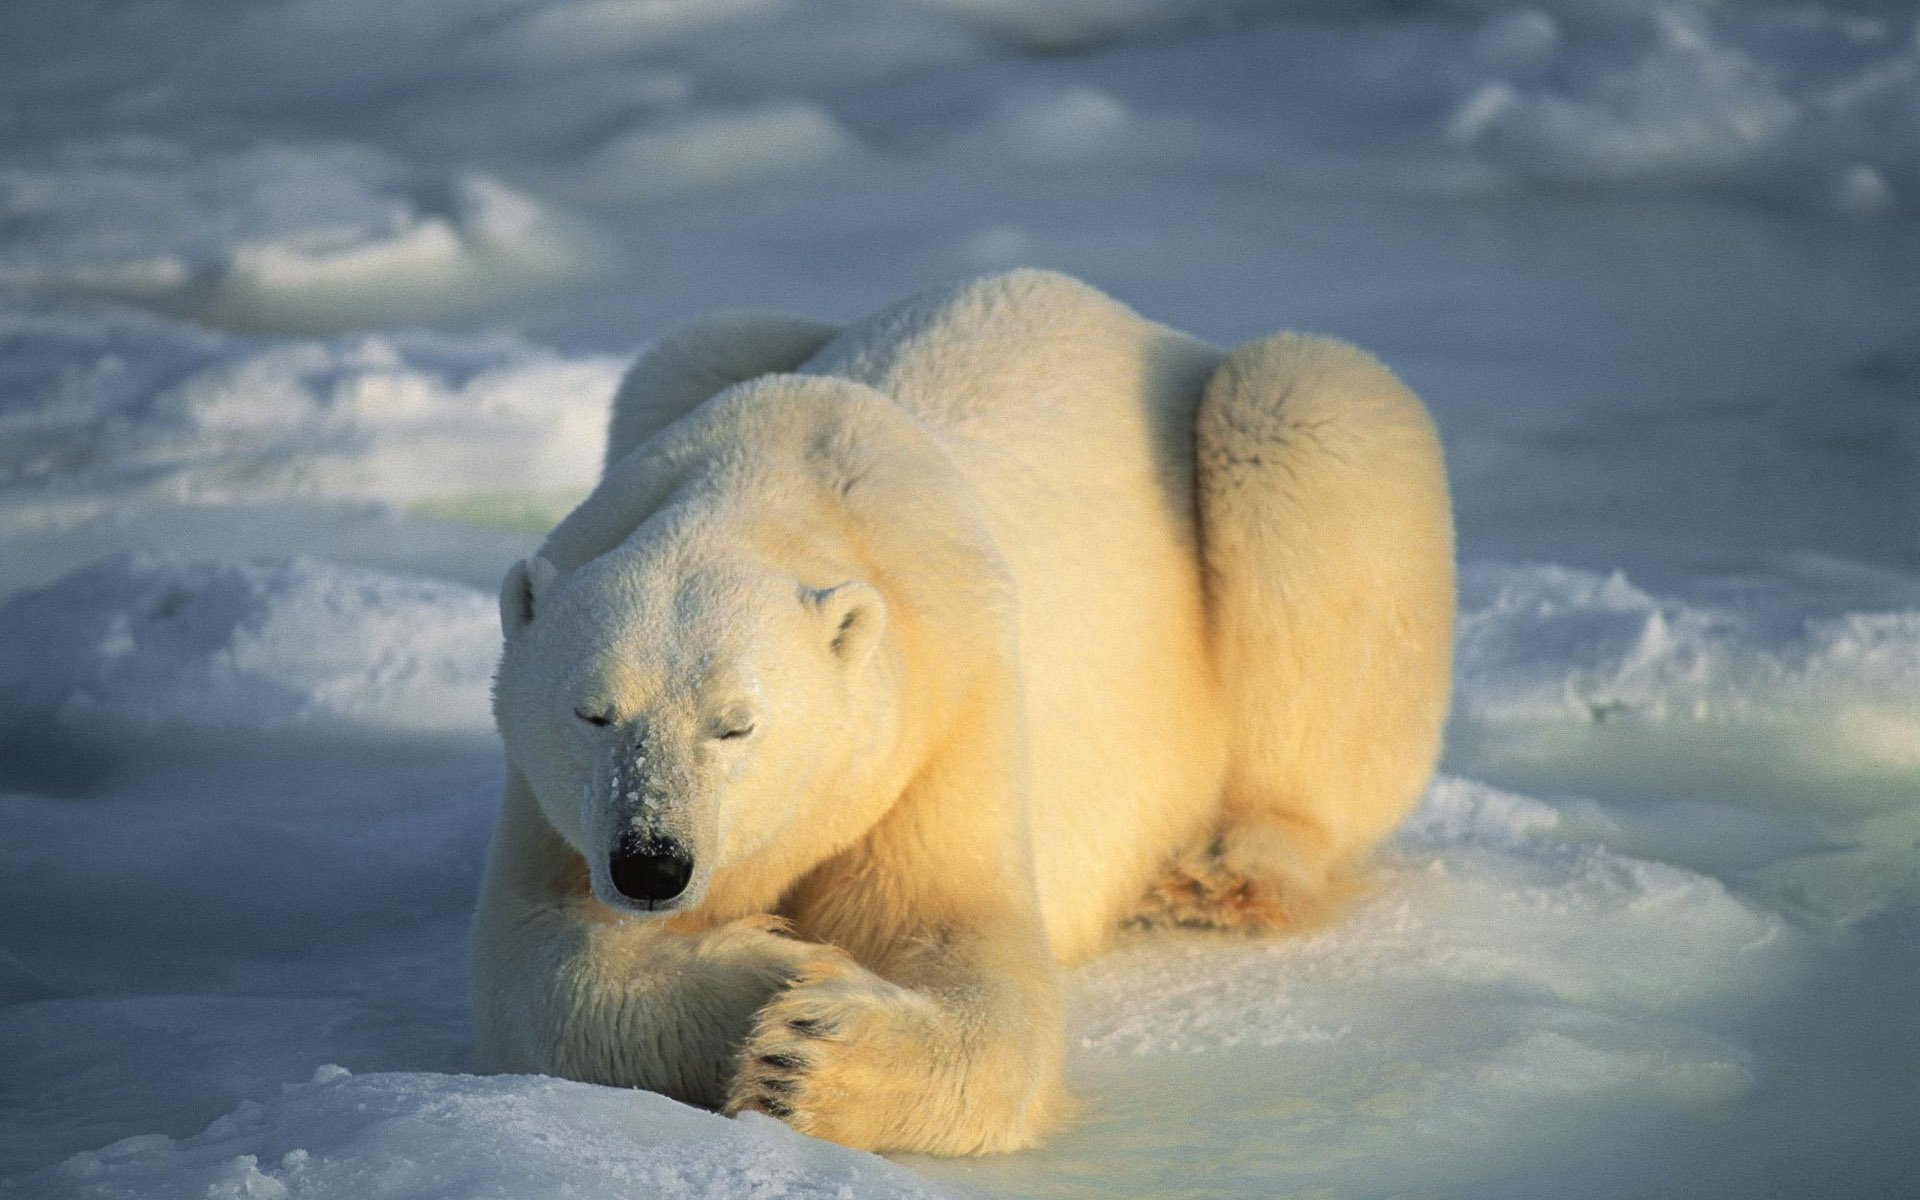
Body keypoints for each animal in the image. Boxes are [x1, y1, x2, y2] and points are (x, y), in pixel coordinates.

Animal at [468, 268, 1451, 1152]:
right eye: (593, 713)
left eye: (737, 723)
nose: (651, 863)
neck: (780, 483)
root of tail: (1144, 323)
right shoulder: (555, 805)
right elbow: (533, 958)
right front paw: (773, 969)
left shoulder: (947, 709)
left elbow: (966, 942)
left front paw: (806, 1053)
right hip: (698, 358)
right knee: (687, 346)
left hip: (1280, 446)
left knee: (1306, 424)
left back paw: (1230, 870)